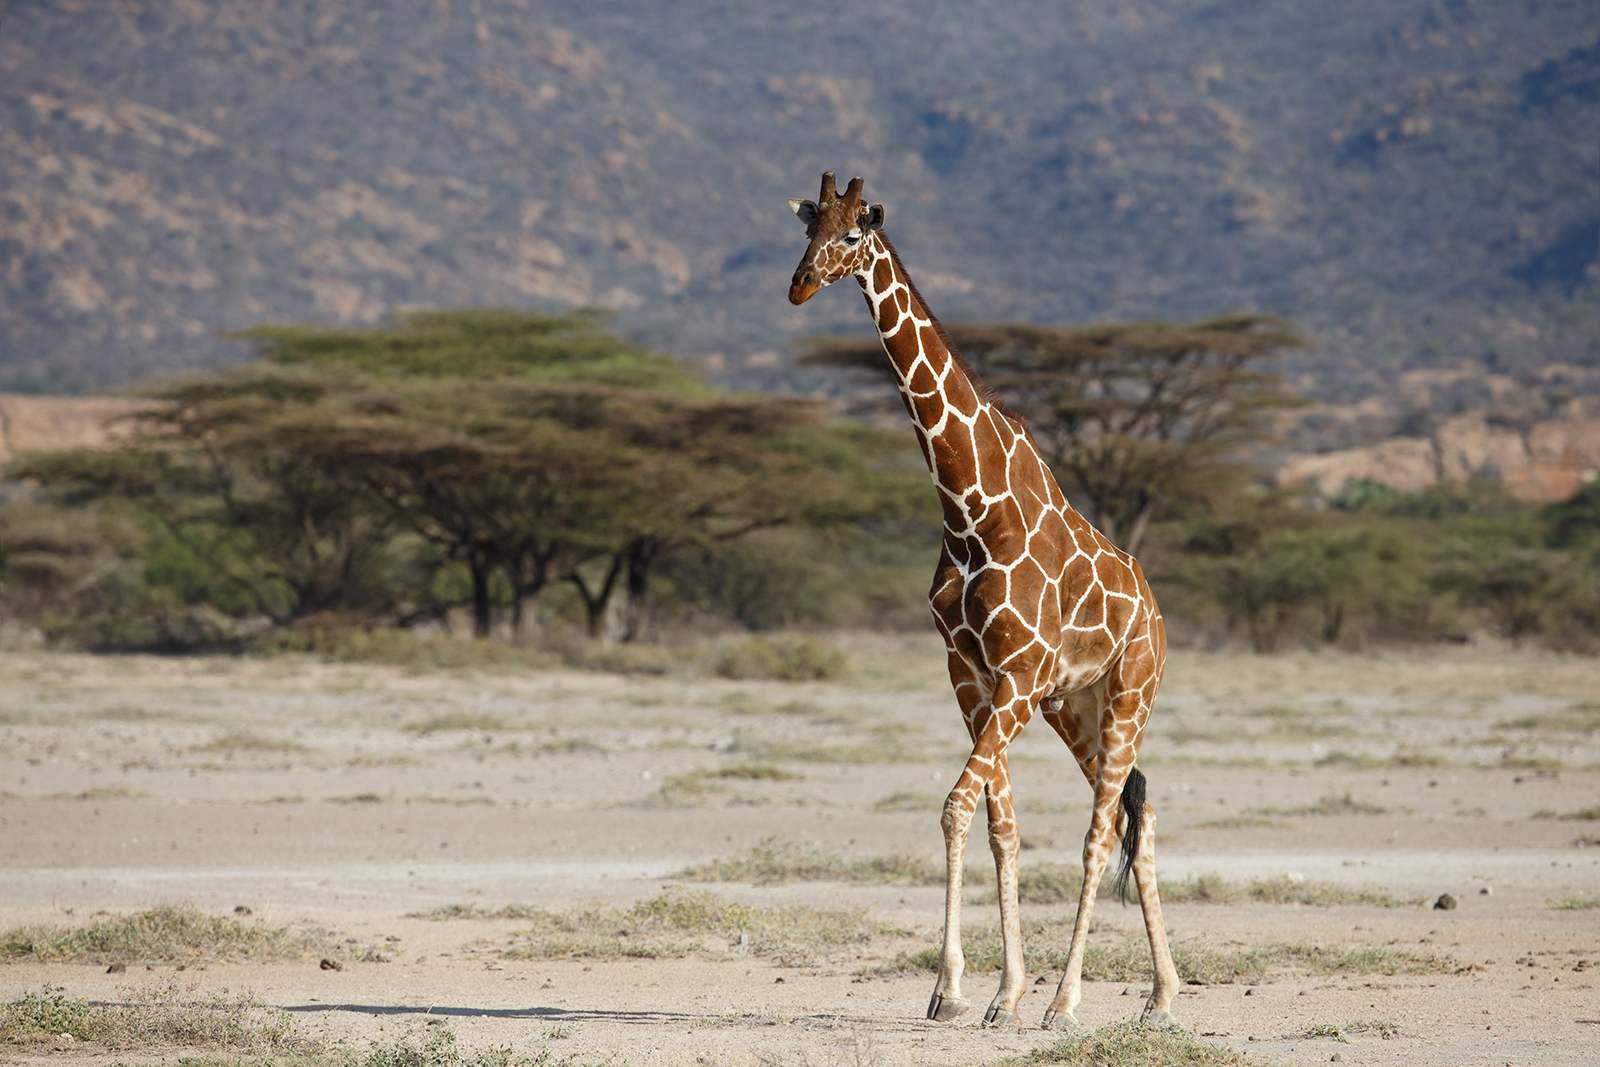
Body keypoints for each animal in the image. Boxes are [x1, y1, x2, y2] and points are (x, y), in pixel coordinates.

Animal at [786, 172, 1180, 1030]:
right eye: (808, 227)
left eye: (854, 234)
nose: (798, 286)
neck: (969, 505)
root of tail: (1157, 610)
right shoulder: (971, 674)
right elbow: (1001, 824)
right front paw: (991, 988)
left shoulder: (1017, 676)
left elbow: (957, 806)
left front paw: (969, 986)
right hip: (1076, 706)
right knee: (1135, 816)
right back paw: (1161, 994)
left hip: (1129, 693)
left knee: (1101, 831)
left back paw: (1069, 1001)